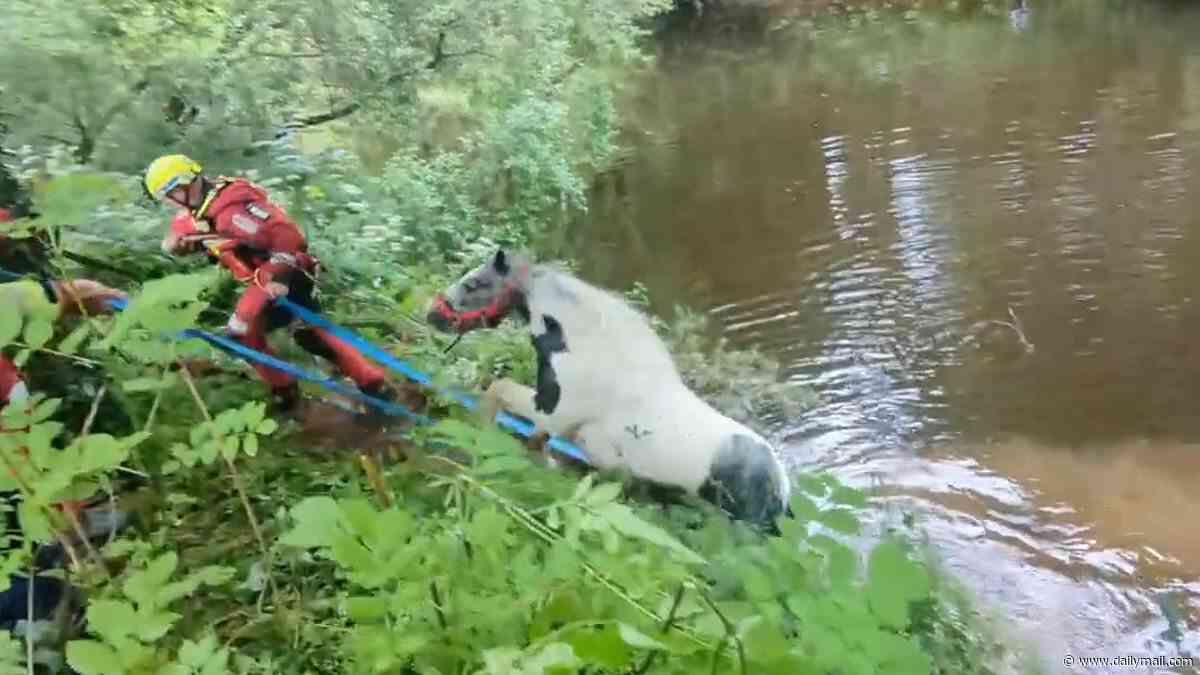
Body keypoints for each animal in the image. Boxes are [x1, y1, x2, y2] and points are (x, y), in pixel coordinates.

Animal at [425, 248, 793, 533]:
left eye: (474, 283)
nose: (433, 315)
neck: (586, 346)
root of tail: (782, 488)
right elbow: (539, 445)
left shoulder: (551, 412)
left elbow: (497, 392)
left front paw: (477, 436)